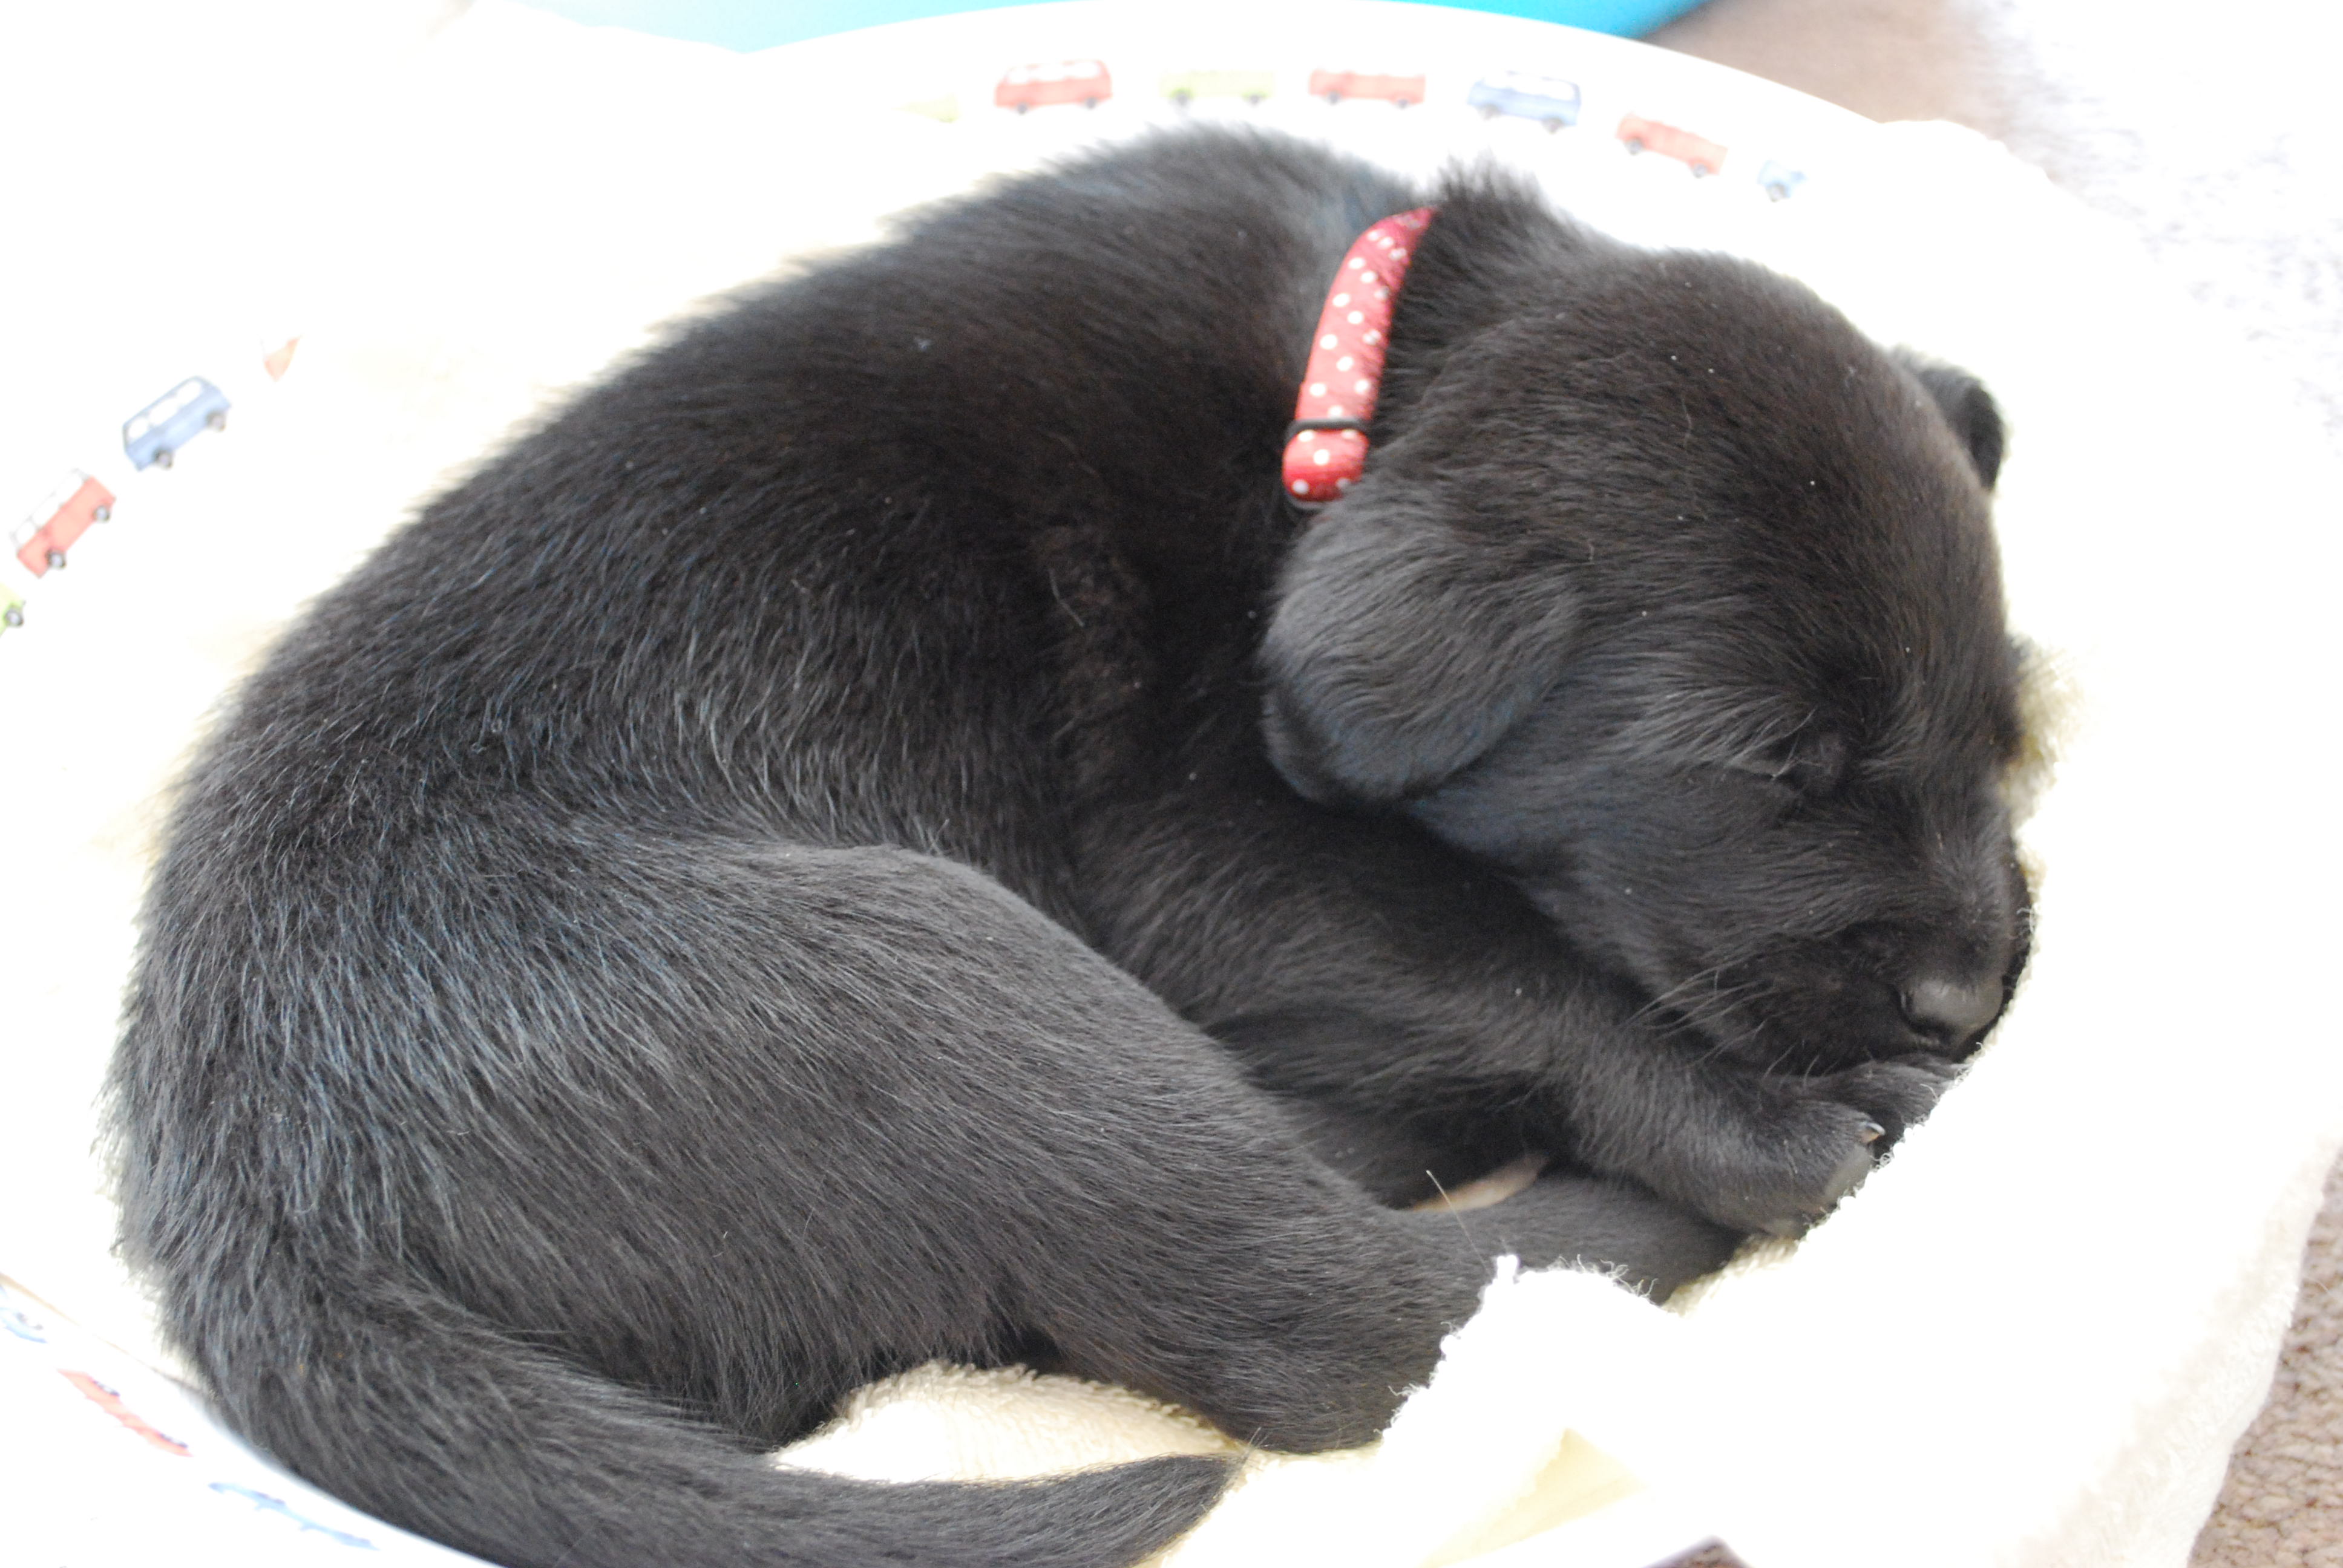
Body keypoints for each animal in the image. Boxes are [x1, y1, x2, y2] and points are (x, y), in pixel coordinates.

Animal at [114, 131, 2033, 1566]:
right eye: (1774, 762)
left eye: (2000, 720)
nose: (1972, 1000)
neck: (1350, 396)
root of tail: (245, 1202)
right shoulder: (1201, 851)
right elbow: (1521, 971)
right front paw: (1756, 1105)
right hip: (936, 986)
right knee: (1338, 1319)